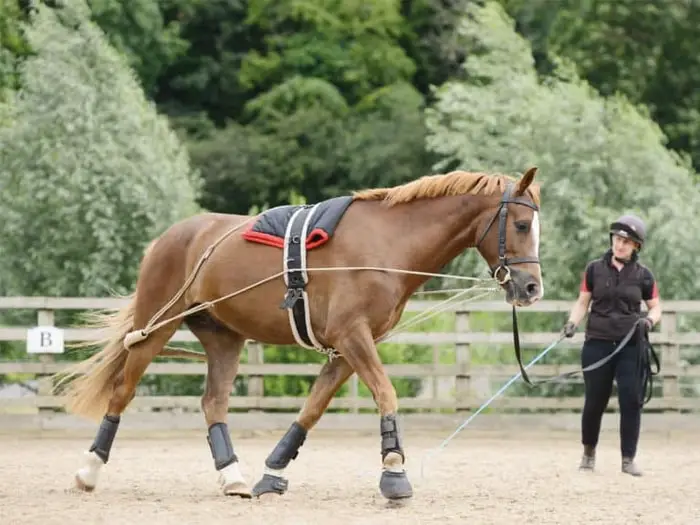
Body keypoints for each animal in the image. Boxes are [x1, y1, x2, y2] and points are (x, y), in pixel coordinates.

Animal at [53, 166, 548, 502]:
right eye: (522, 225)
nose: (531, 288)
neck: (387, 245)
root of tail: (170, 237)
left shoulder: (347, 348)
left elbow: (312, 409)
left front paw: (272, 472)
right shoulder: (352, 337)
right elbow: (385, 394)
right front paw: (393, 471)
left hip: (224, 338)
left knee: (213, 402)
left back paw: (232, 476)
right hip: (156, 327)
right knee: (122, 390)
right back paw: (89, 471)